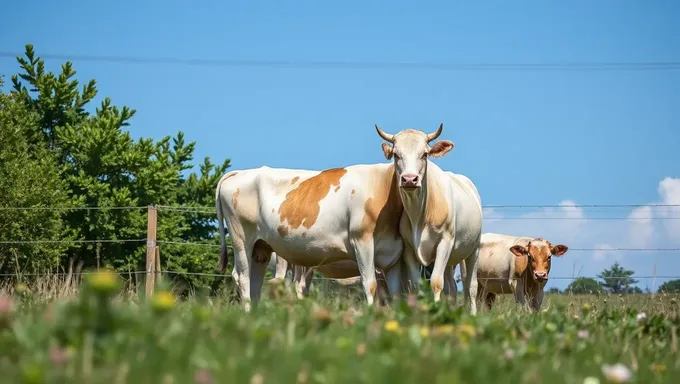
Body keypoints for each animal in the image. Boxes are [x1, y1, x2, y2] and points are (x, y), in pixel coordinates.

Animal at [215, 160, 406, 312]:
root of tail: (240, 172)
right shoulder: (364, 246)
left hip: (264, 248)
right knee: (245, 277)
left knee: (260, 281)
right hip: (242, 238)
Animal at [372, 124, 484, 314]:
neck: (419, 215)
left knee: (471, 286)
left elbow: (436, 283)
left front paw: (436, 309)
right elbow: (417, 285)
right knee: (451, 287)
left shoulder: (445, 242)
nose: (409, 179)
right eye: (396, 154)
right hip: (450, 261)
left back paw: (473, 313)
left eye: (424, 154)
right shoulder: (409, 248)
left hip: (473, 249)